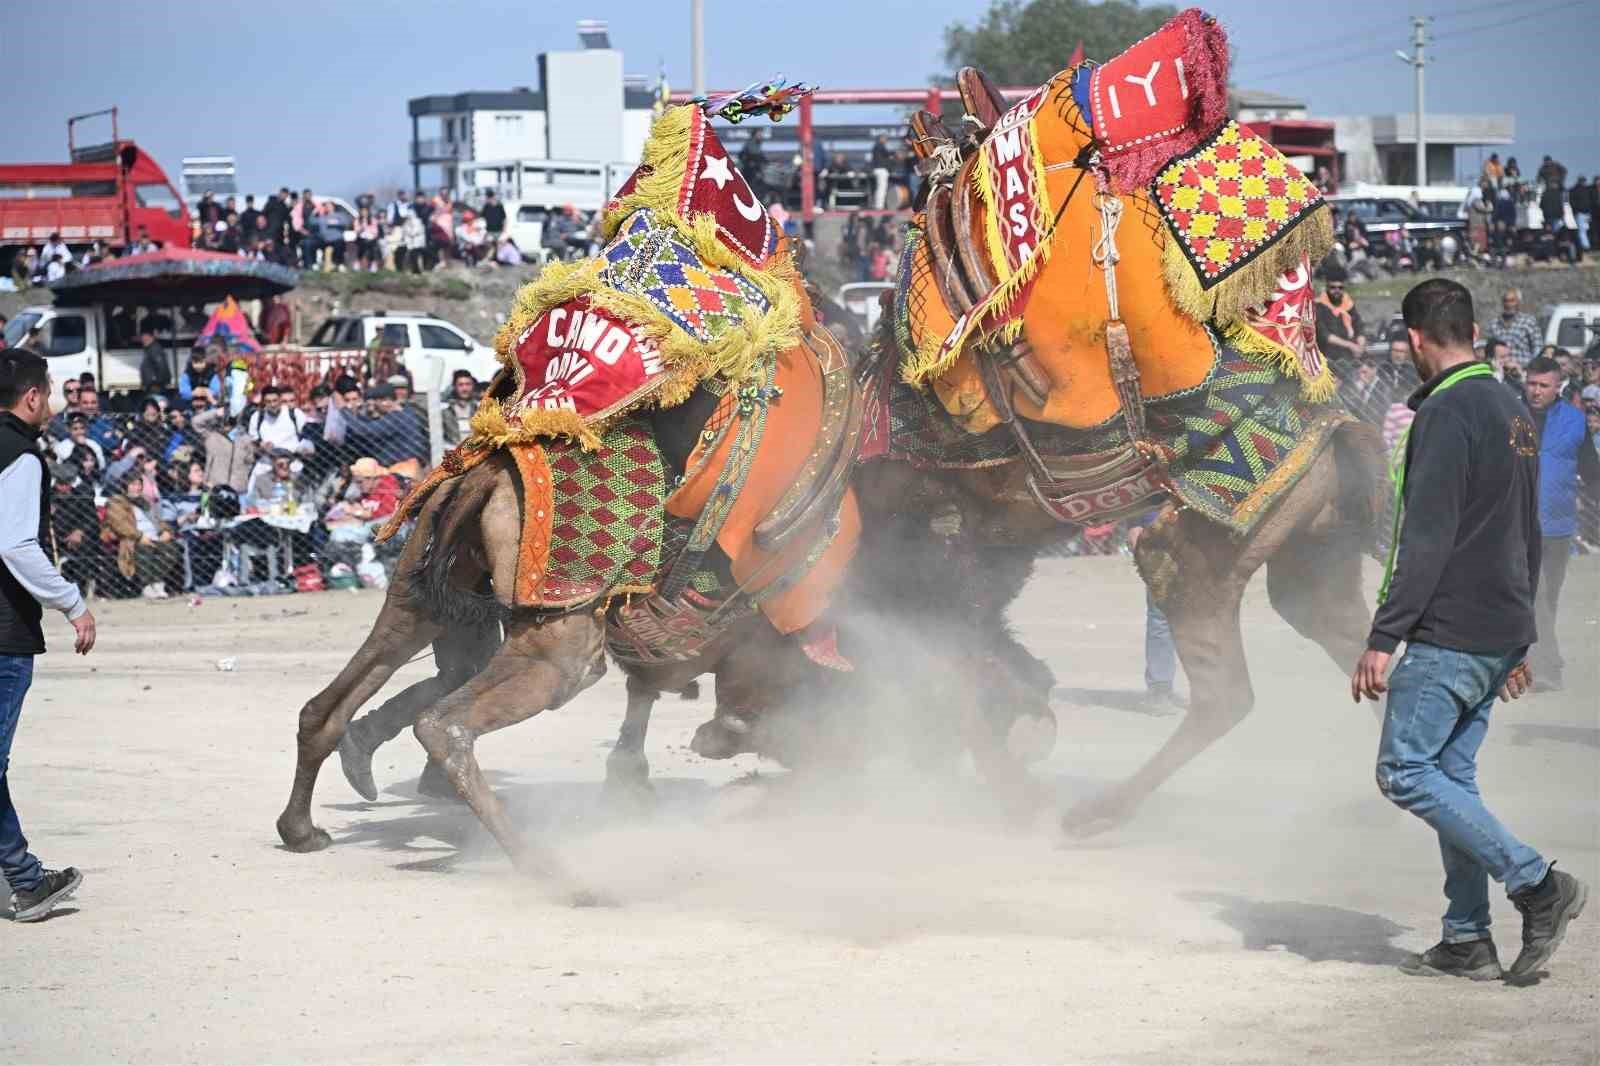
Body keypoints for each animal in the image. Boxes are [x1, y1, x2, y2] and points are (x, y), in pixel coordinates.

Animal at [864, 8, 1388, 832]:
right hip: (1314, 550)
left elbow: (955, 662)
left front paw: (1010, 786)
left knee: (1226, 688)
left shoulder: (944, 550)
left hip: (1198, 542)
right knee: (1347, 641)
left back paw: (1096, 815)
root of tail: (1343, 433)